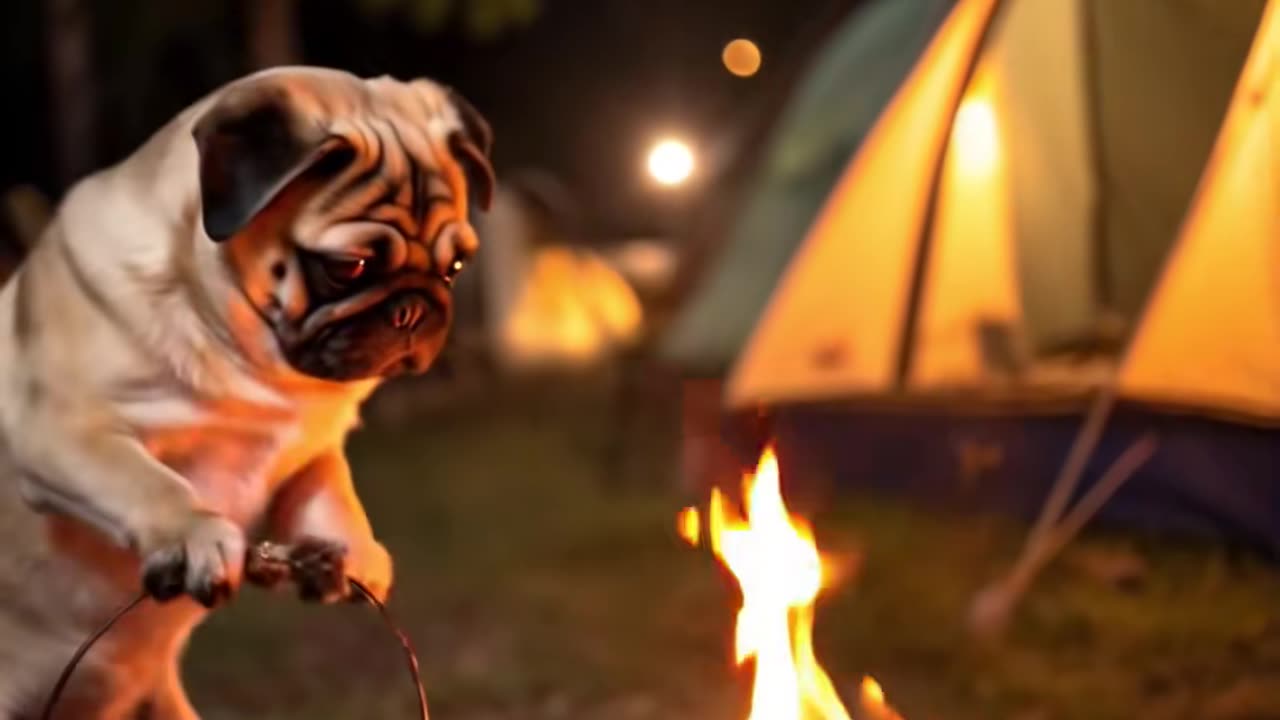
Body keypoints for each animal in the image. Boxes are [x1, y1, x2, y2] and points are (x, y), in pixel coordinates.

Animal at [0, 64, 494, 712]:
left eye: (454, 268)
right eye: (350, 267)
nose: (415, 309)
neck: (249, 363)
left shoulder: (311, 450)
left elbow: (329, 494)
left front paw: (355, 552)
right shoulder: (64, 431)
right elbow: (145, 479)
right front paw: (193, 531)